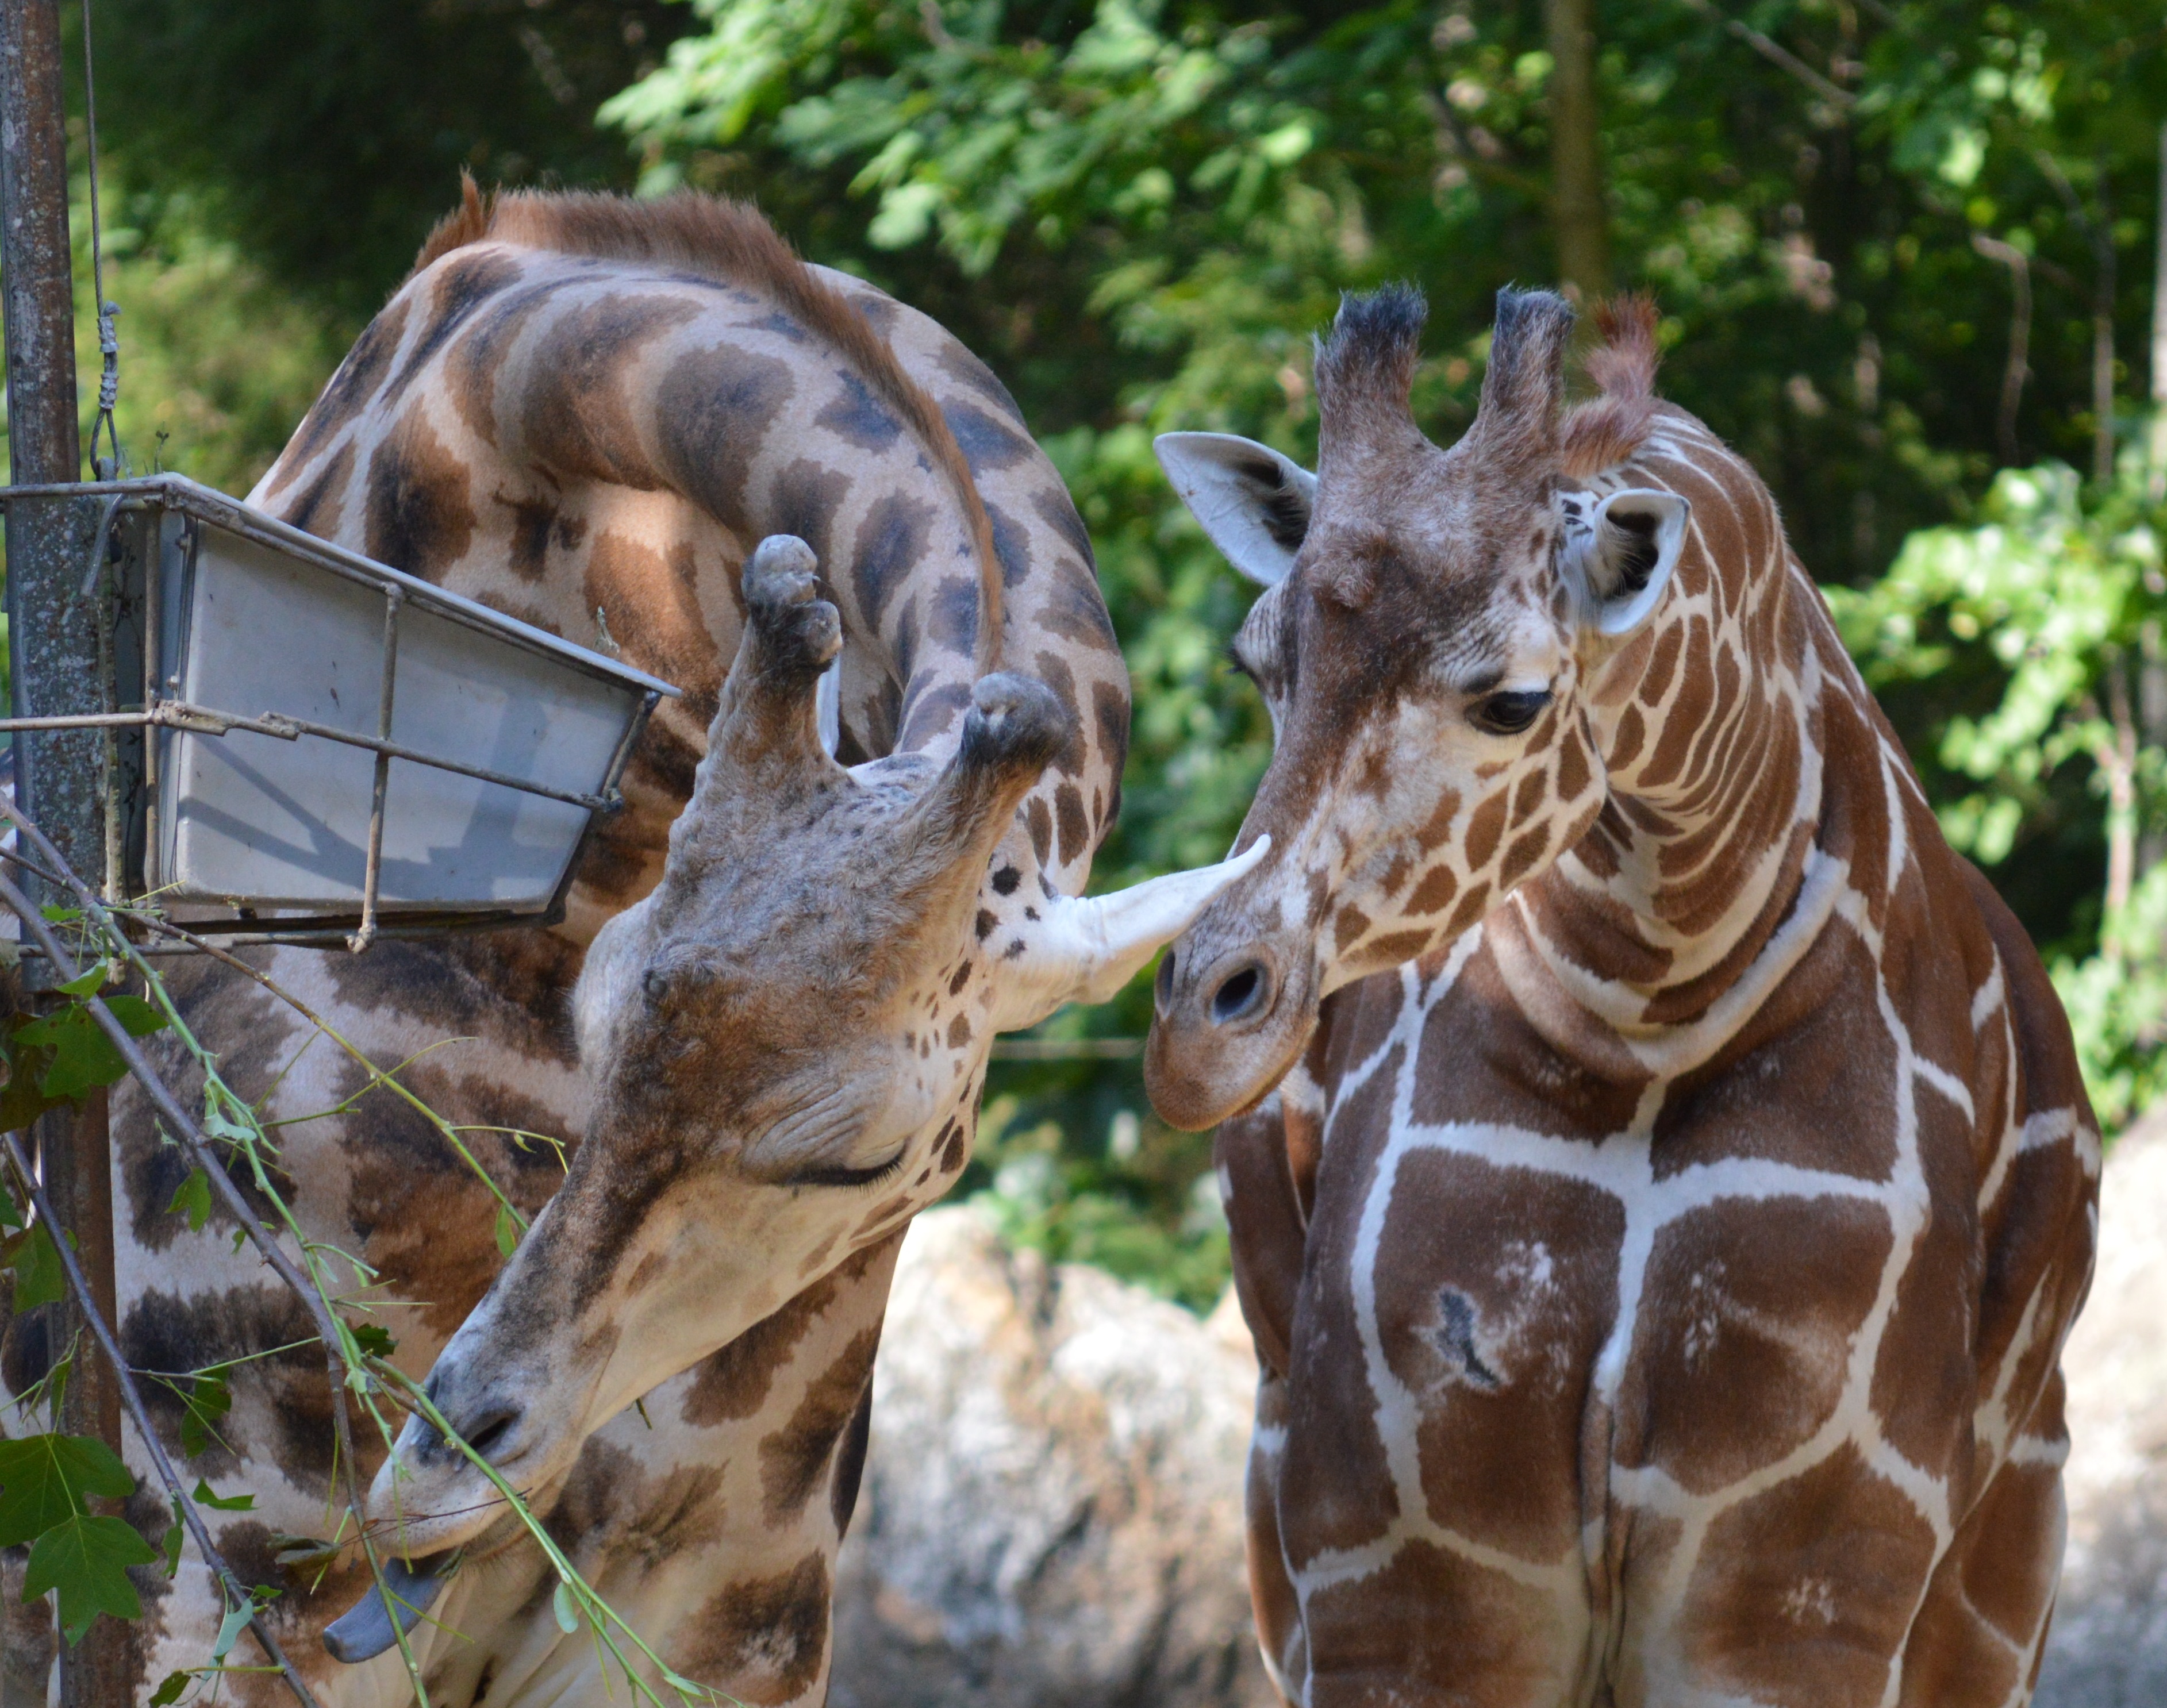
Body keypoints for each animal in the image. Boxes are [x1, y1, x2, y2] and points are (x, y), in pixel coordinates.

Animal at [1144, 286, 2089, 1699]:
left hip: (2003, 1568)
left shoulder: (1796, 1585)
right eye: (1259, 664)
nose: (1200, 1031)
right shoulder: (1403, 1570)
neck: (1650, 1004)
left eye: (1515, 698)